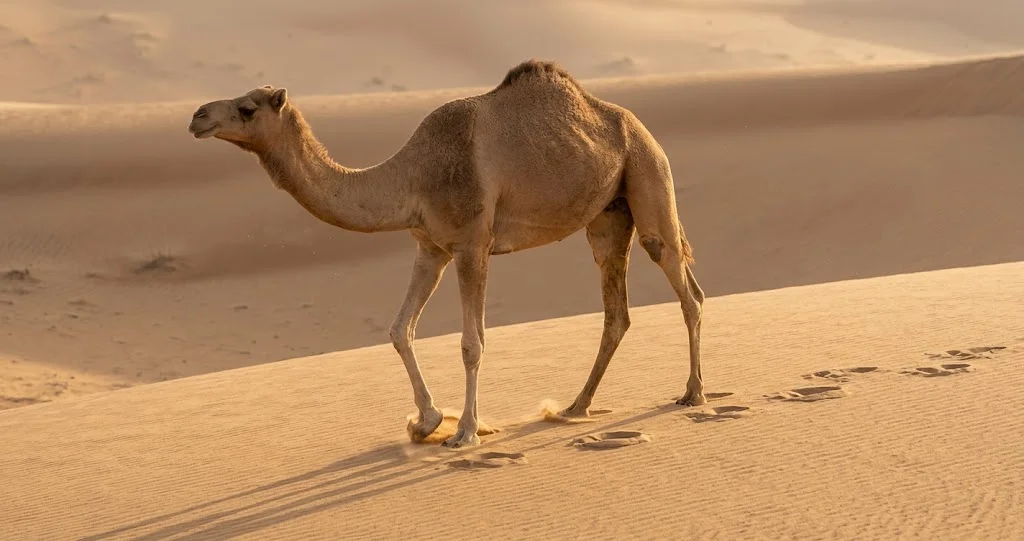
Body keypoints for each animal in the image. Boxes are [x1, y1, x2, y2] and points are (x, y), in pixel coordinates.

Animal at [187, 59, 706, 448]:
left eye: (247, 108)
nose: (197, 116)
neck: (412, 175)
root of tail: (641, 128)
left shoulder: (472, 244)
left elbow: (471, 343)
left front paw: (466, 432)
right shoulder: (431, 248)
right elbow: (399, 330)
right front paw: (426, 421)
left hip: (648, 175)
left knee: (687, 289)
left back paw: (693, 394)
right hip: (607, 216)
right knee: (616, 310)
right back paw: (576, 406)